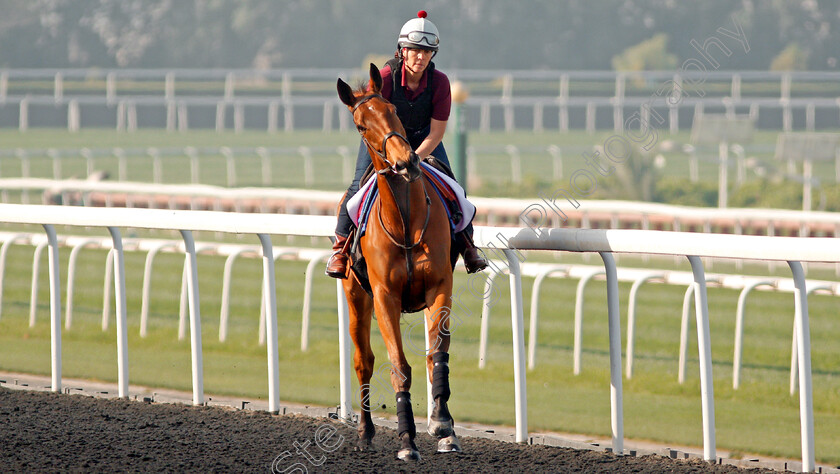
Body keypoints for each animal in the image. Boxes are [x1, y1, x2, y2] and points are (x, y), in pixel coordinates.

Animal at [334, 65, 460, 462]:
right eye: (361, 125)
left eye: (393, 110)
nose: (406, 161)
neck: (405, 220)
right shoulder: (385, 296)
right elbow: (399, 367)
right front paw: (407, 440)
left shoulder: (440, 286)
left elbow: (437, 355)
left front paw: (443, 426)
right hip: (356, 296)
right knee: (364, 361)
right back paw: (365, 433)